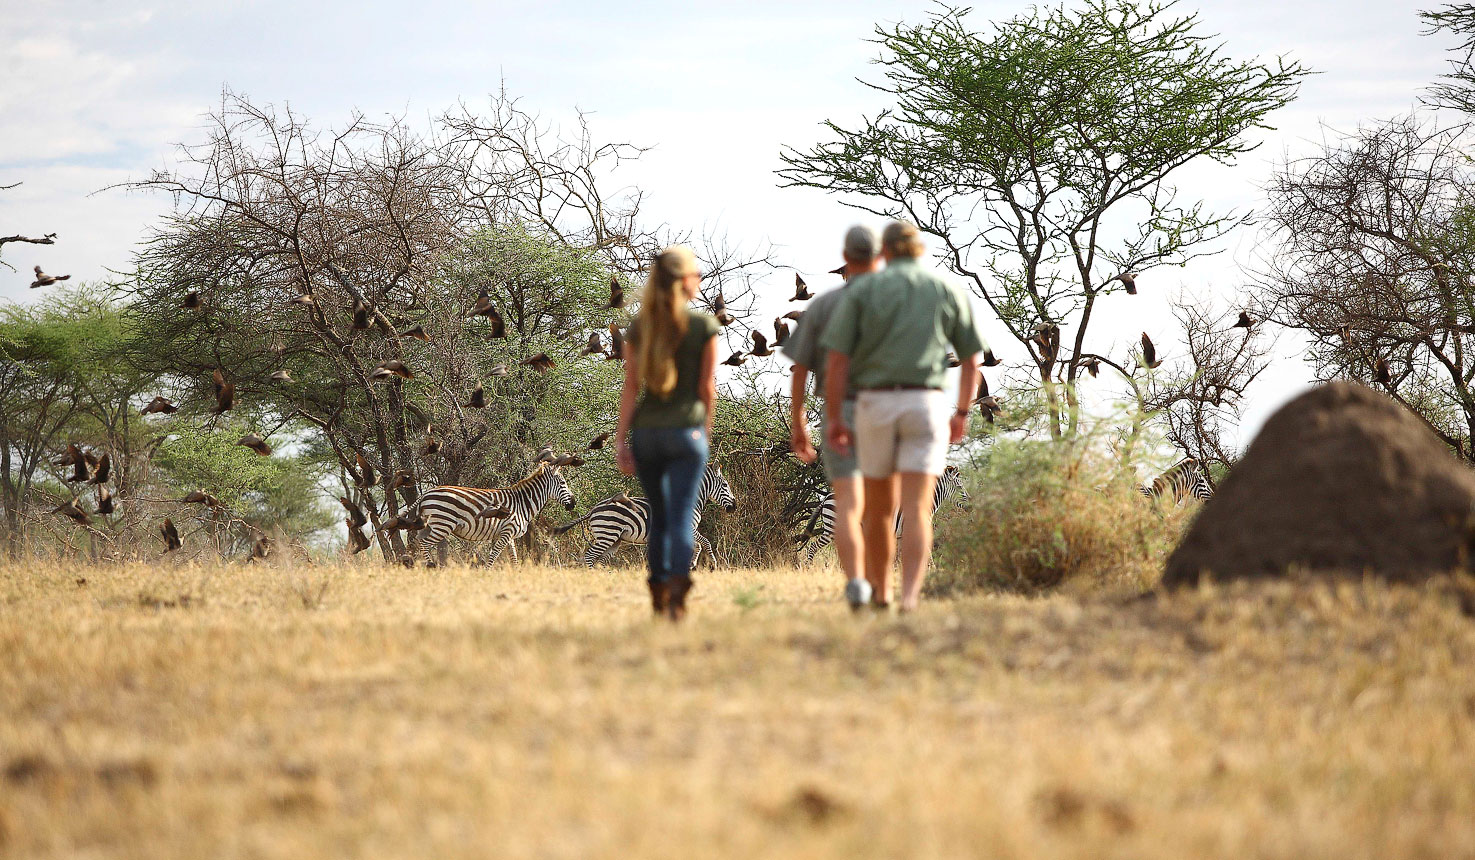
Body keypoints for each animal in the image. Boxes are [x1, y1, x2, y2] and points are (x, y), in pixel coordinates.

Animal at [418, 460, 578, 569]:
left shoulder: (510, 534)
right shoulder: (506, 532)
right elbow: (494, 554)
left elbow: (514, 558)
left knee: (419, 542)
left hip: (431, 525)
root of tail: (426, 493)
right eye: (563, 483)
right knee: (424, 543)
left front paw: (516, 575)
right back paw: (430, 566)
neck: (522, 503)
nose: (574, 503)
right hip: (442, 524)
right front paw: (486, 573)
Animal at [554, 463, 737, 572]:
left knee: (601, 559)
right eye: (725, 485)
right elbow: (705, 542)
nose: (734, 507)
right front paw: (713, 565)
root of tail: (593, 509)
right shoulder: (687, 527)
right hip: (608, 535)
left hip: (615, 539)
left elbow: (697, 545)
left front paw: (691, 564)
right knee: (590, 557)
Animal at [796, 463, 967, 566]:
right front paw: (932, 569)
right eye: (960, 488)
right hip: (832, 528)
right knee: (812, 547)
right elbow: (925, 552)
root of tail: (826, 496)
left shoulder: (901, 534)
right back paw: (809, 568)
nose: (970, 505)